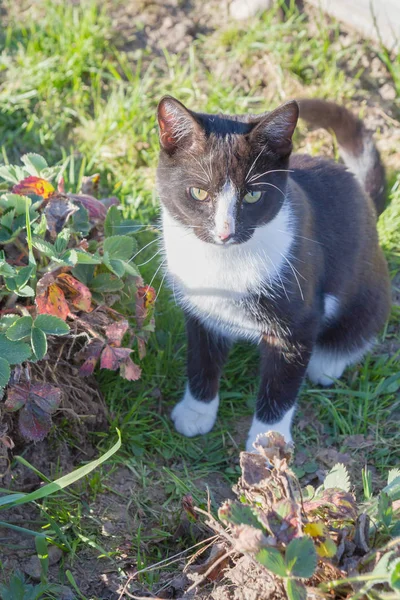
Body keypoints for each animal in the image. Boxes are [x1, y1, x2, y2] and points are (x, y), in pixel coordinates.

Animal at [155, 96, 390, 450]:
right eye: (199, 193)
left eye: (253, 194)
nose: (225, 232)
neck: (224, 260)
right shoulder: (200, 307)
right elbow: (201, 358)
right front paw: (196, 411)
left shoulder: (299, 318)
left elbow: (282, 383)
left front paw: (269, 442)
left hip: (368, 286)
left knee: (362, 324)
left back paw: (328, 361)